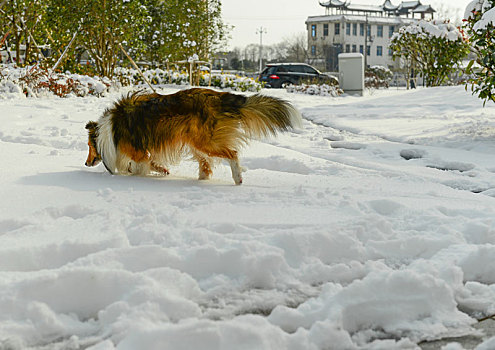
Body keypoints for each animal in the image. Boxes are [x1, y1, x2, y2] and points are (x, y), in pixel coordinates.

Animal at [85, 89, 302, 185]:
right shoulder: (144, 152)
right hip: (195, 142)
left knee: (232, 153)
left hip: (205, 141)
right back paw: (200, 180)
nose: (86, 163)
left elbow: (139, 167)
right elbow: (151, 162)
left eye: (89, 145)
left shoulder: (137, 152)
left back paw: (238, 177)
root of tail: (222, 97)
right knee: (207, 164)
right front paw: (163, 170)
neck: (107, 131)